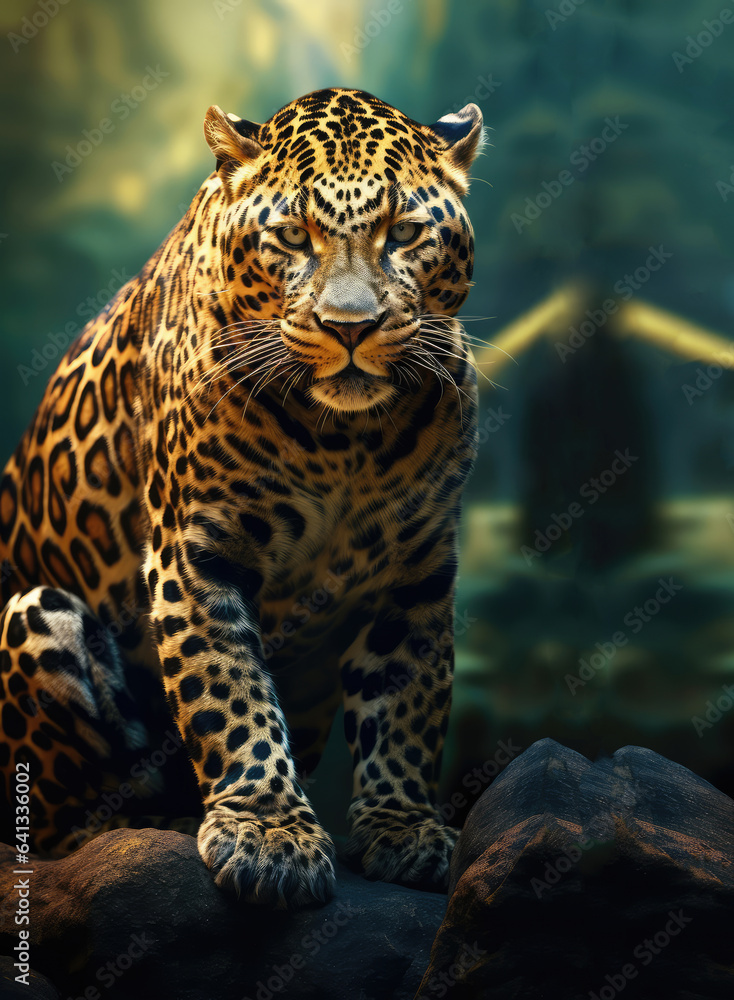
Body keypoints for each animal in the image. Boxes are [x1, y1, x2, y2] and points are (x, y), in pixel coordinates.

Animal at [0, 87, 483, 908]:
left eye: (404, 233)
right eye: (291, 235)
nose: (349, 328)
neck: (346, 441)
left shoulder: (418, 571)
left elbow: (408, 704)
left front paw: (406, 826)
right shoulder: (195, 553)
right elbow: (229, 692)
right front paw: (268, 833)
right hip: (35, 616)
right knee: (59, 826)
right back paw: (139, 827)